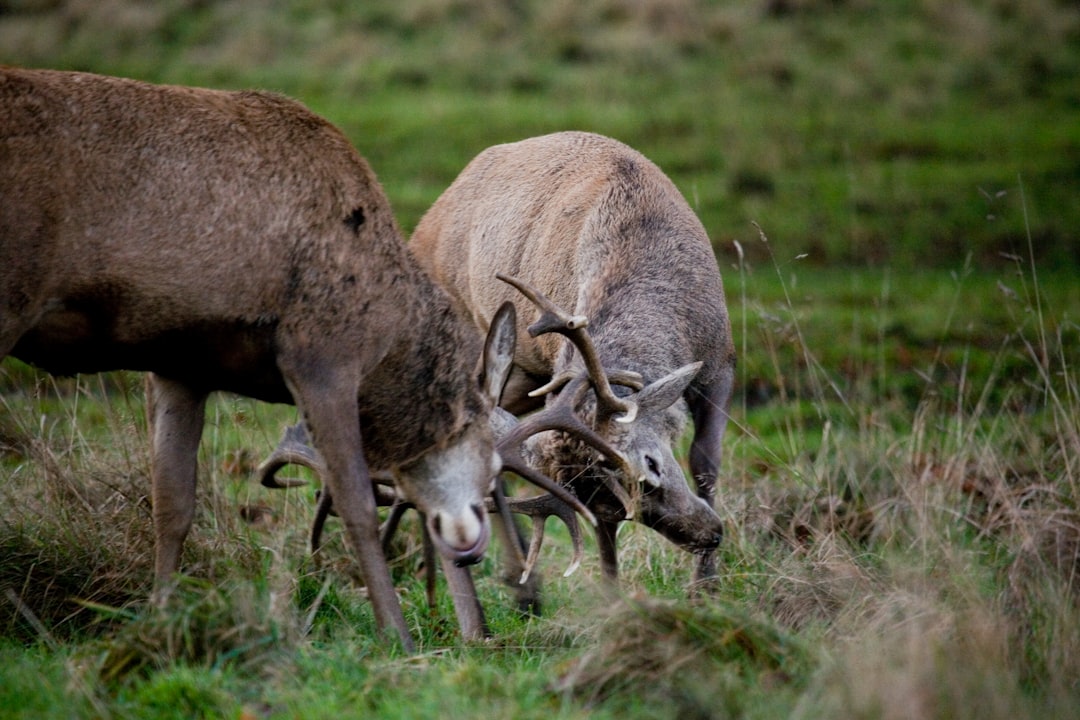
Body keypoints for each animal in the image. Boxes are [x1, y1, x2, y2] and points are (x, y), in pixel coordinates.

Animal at [0, 69, 591, 651]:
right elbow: (354, 502)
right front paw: (397, 635)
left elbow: (172, 503)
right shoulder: (323, 356)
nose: (473, 546)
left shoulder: (178, 366)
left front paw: (160, 625)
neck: (390, 336)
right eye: (491, 460)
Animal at [408, 132, 738, 595]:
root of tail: (420, 232)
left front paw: (705, 586)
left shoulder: (720, 359)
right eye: (615, 508)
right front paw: (616, 592)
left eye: (651, 466)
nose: (709, 535)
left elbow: (706, 463)